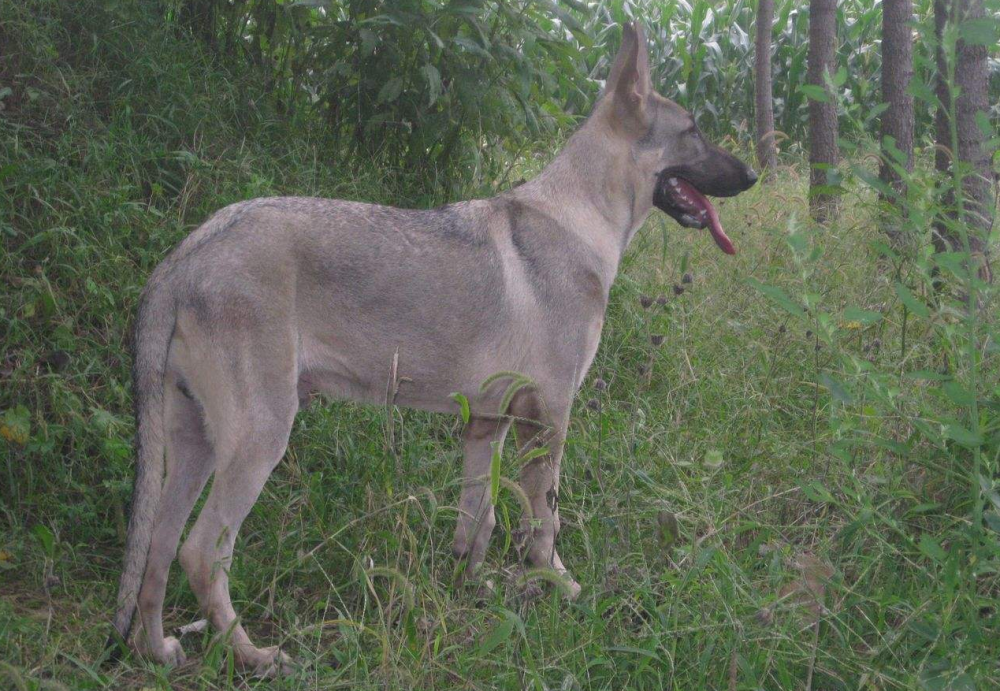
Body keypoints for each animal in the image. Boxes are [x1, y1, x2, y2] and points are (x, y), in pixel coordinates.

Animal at [109, 23, 752, 676]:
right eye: (694, 130)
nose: (752, 175)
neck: (582, 216)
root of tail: (186, 253)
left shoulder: (488, 425)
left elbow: (479, 519)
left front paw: (473, 589)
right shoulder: (549, 419)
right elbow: (544, 522)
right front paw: (562, 588)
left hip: (195, 443)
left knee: (158, 546)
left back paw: (159, 651)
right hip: (259, 439)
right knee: (201, 553)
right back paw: (254, 655)